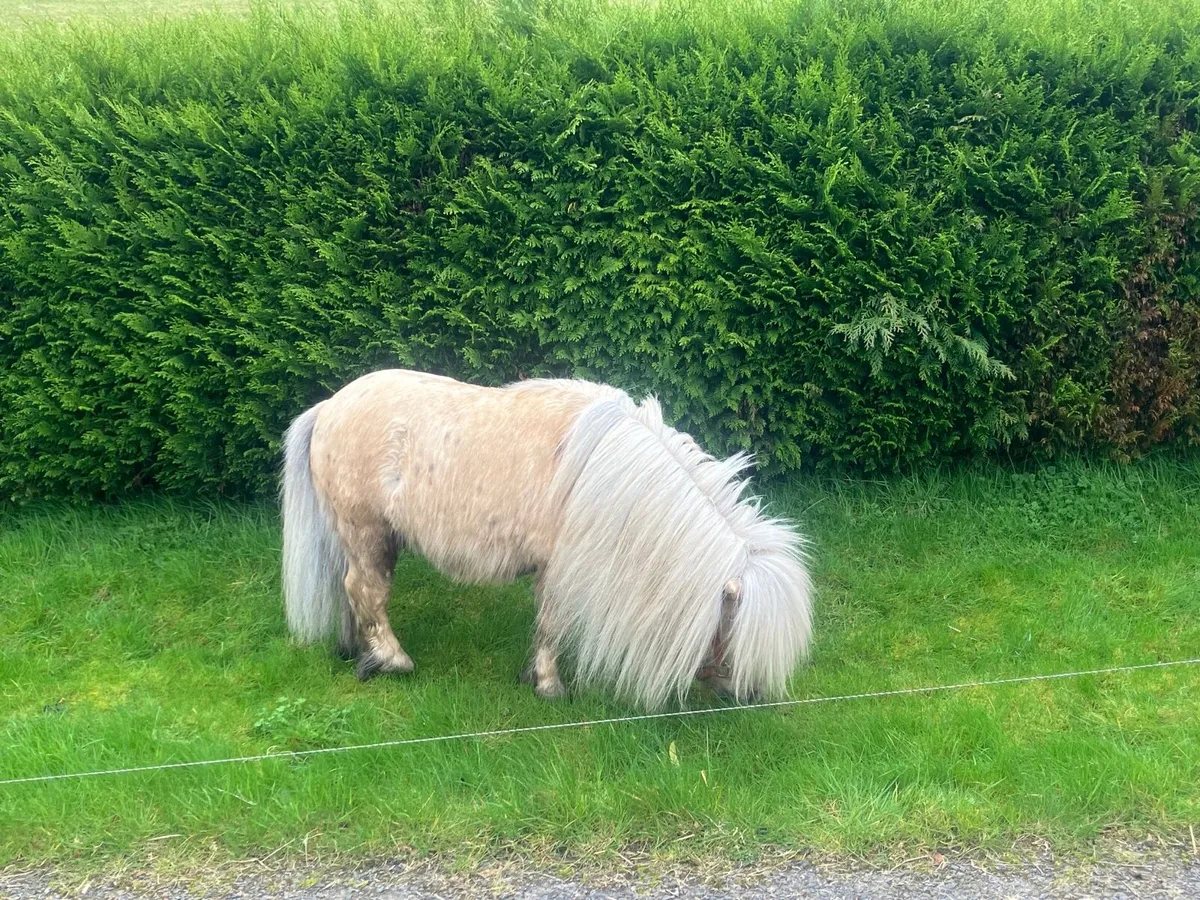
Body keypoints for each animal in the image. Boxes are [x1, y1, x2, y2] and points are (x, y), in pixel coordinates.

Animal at [280, 368, 813, 710]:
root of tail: (329, 407)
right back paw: (391, 660)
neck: (606, 470)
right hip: (368, 532)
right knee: (364, 590)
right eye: (737, 634)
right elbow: (553, 625)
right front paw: (549, 686)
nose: (749, 695)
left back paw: (357, 650)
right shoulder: (559, 570)